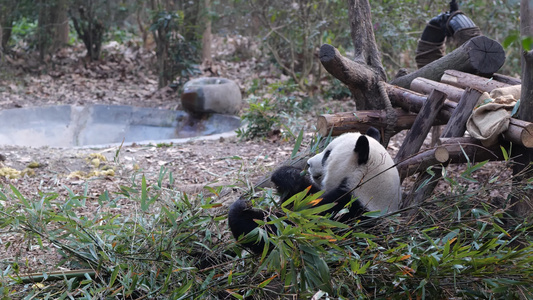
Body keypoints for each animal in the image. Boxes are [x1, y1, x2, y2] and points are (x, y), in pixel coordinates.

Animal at [228, 127, 400, 254]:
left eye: (327, 154)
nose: (309, 163)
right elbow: (306, 194)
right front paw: (285, 175)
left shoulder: (345, 212)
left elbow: (289, 231)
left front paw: (241, 210)